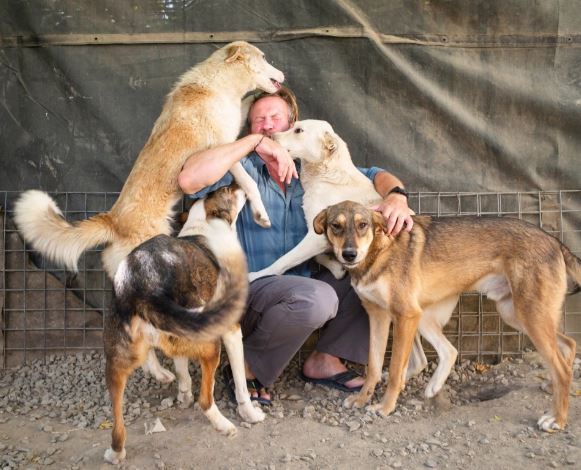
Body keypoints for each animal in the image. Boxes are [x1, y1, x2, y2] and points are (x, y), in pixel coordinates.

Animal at [105, 184, 264, 462]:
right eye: (227, 189)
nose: (239, 183)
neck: (202, 227)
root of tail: (142, 285)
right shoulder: (232, 332)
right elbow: (241, 383)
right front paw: (250, 413)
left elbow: (182, 371)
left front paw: (183, 394)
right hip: (211, 345)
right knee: (206, 400)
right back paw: (224, 425)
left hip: (115, 366)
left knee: (117, 424)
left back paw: (116, 451)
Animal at [314, 200, 576, 432]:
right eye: (335, 226)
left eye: (363, 225)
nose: (349, 254)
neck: (378, 252)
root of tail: (554, 241)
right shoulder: (378, 316)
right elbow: (374, 367)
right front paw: (362, 399)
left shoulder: (405, 315)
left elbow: (396, 370)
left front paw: (385, 407)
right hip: (511, 315)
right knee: (568, 344)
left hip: (529, 316)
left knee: (562, 367)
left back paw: (557, 419)